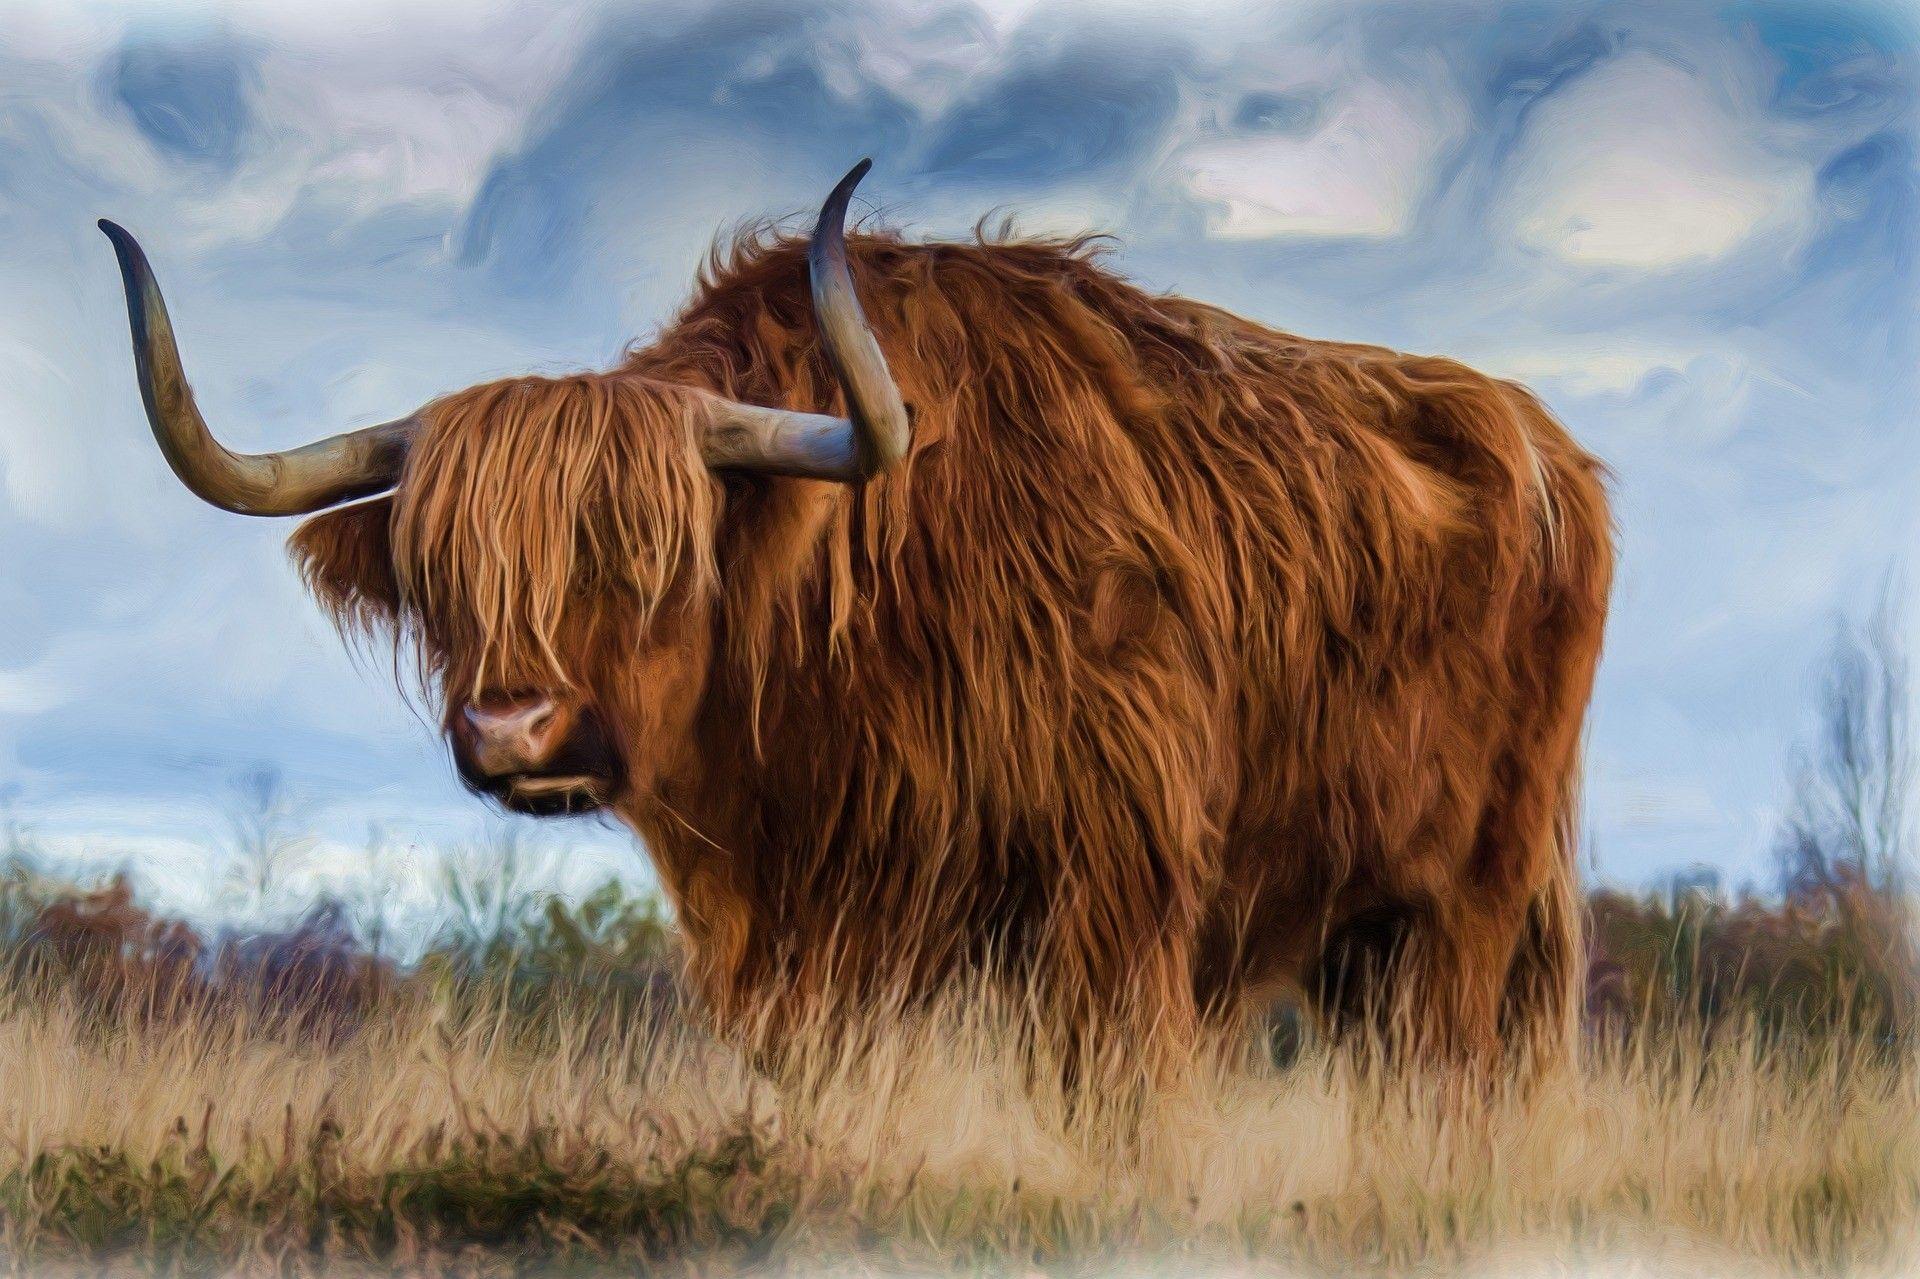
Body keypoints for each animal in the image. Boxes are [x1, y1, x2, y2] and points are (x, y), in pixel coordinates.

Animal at [98, 160, 1612, 1072]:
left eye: (650, 553)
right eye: (442, 570)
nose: (512, 728)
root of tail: (1547, 445)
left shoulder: (1117, 892)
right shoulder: (805, 939)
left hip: (1472, 900)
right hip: (1364, 930)